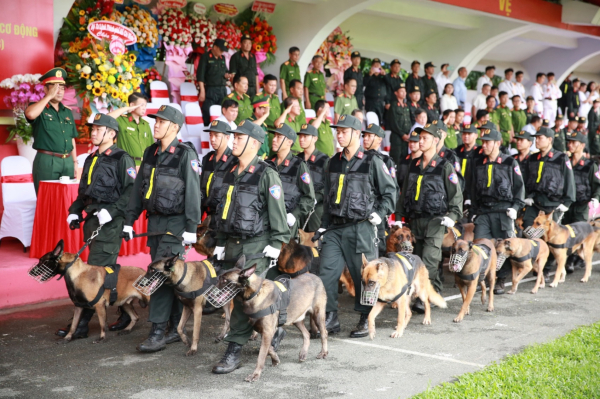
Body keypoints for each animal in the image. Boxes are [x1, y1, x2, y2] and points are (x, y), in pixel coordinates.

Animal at [217, 256, 328, 384]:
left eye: (225, 280)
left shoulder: (268, 331)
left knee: (324, 333)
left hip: (318, 315)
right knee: (306, 334)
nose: (215, 287)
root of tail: (316, 277)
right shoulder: (264, 331)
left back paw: (323, 352)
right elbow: (269, 349)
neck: (256, 293)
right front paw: (275, 359)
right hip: (296, 319)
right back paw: (303, 353)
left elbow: (261, 355)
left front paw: (255, 374)